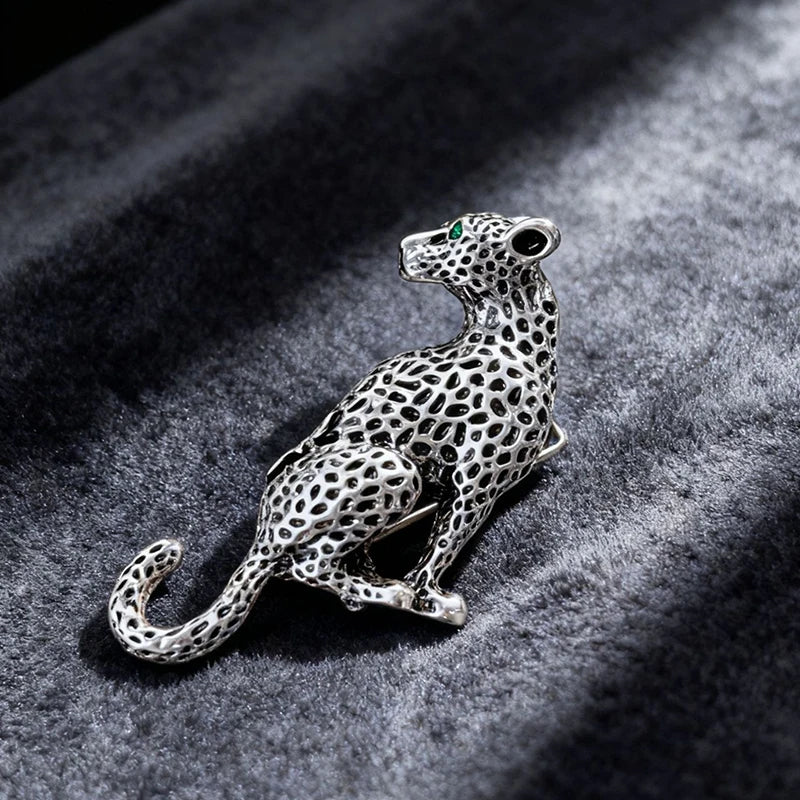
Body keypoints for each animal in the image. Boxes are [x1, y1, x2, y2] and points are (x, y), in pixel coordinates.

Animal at [108, 212, 567, 663]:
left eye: (454, 232)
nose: (404, 247)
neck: (507, 337)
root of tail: (263, 530)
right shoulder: (474, 489)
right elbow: (440, 549)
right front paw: (430, 599)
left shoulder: (473, 487)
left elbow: (440, 543)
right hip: (392, 468)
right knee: (310, 566)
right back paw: (390, 592)